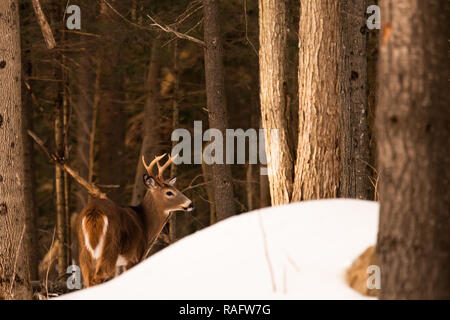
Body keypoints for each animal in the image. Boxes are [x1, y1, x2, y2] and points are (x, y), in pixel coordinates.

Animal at [78, 154, 193, 286]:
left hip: (85, 252)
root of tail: (95, 212)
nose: (191, 204)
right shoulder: (134, 257)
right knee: (97, 278)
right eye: (169, 192)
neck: (145, 223)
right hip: (110, 248)